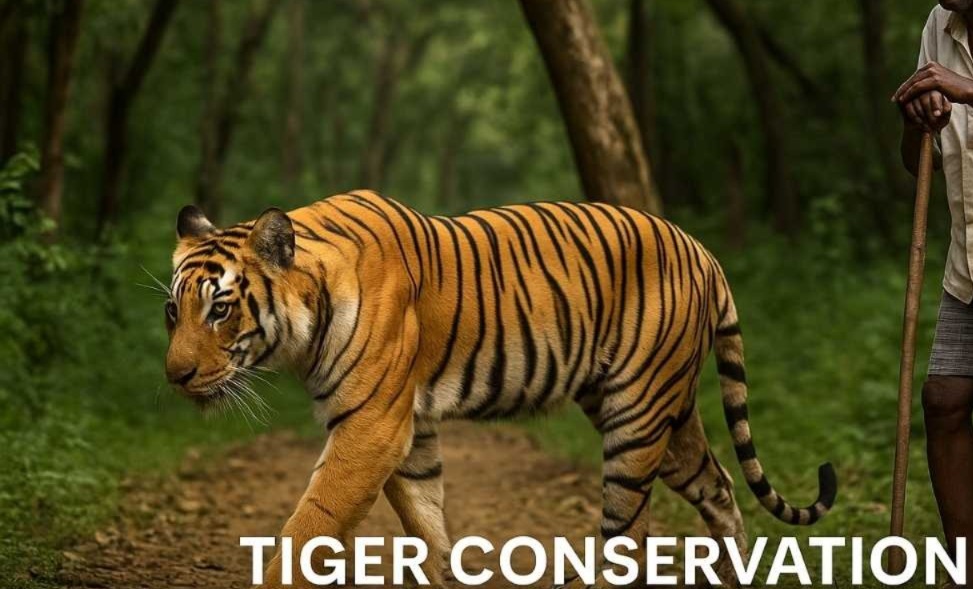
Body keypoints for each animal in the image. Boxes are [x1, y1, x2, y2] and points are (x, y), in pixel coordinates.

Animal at [164, 189, 836, 588]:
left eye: (220, 308)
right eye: (175, 311)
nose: (176, 377)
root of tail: (702, 250)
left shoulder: (371, 425)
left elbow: (312, 524)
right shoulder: (408, 429)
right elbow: (425, 523)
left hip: (638, 415)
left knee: (631, 530)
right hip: (664, 413)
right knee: (717, 485)